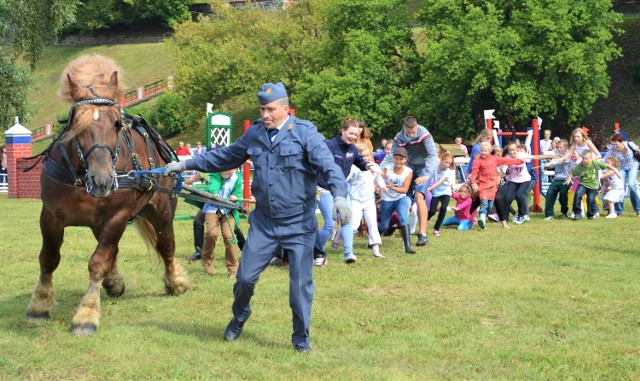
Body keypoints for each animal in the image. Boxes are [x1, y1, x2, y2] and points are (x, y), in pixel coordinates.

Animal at [25, 55, 190, 334]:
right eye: (77, 124)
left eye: (115, 124)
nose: (102, 180)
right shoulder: (50, 215)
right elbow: (48, 258)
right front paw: (39, 303)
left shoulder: (117, 216)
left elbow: (97, 262)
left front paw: (87, 314)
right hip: (97, 223)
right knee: (115, 250)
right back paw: (114, 282)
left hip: (162, 213)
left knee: (166, 245)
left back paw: (175, 281)